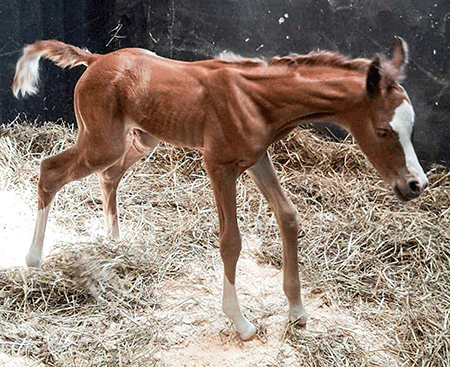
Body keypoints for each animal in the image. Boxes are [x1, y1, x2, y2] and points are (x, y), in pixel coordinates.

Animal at [13, 36, 426, 340]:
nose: (415, 184)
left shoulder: (258, 159)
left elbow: (288, 217)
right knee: (51, 170)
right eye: (383, 131)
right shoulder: (219, 167)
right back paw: (33, 258)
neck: (258, 101)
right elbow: (231, 241)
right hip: (103, 142)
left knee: (109, 176)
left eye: (411, 127)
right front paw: (240, 322)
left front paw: (297, 312)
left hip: (143, 139)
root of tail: (96, 58)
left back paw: (115, 242)